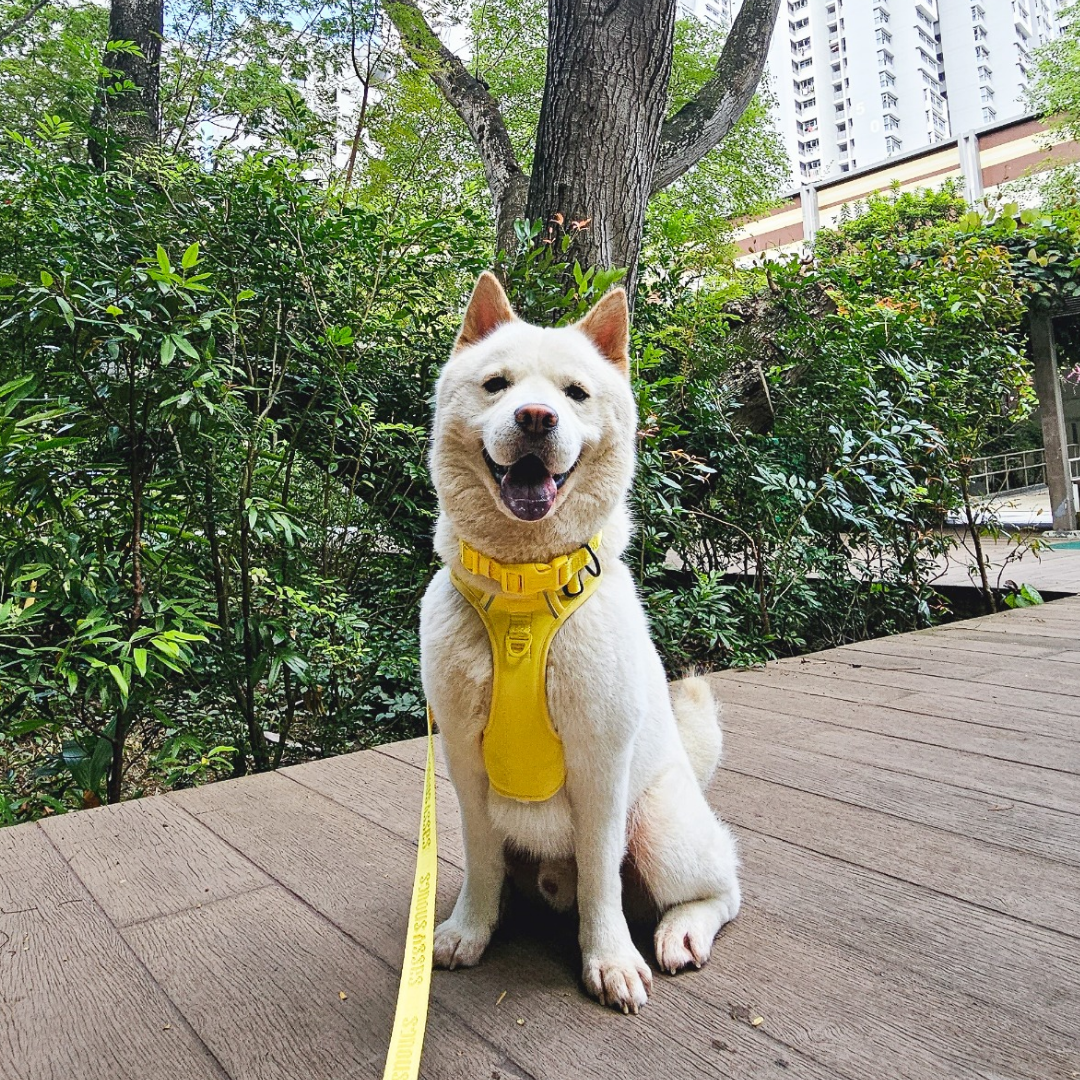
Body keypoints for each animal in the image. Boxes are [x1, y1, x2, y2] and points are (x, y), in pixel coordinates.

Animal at [421, 270, 743, 1010]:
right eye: (497, 385)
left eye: (575, 393)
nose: (536, 418)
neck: (521, 588)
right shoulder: (463, 758)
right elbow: (479, 860)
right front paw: (469, 928)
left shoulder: (602, 762)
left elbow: (602, 878)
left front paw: (609, 958)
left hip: (661, 829)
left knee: (724, 887)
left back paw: (682, 929)